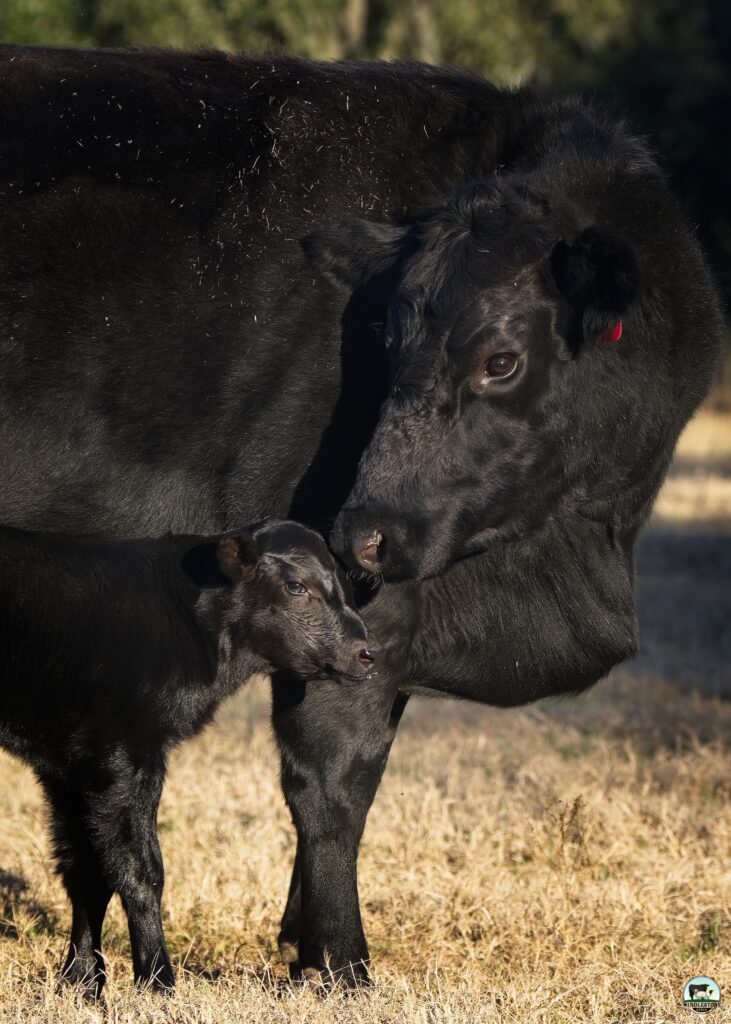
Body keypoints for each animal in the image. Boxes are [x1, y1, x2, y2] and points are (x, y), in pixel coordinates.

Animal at [0, 520, 376, 991]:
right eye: (296, 586)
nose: (367, 653)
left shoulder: (67, 763)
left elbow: (85, 869)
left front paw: (82, 981)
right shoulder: (122, 751)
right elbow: (140, 868)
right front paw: (157, 981)